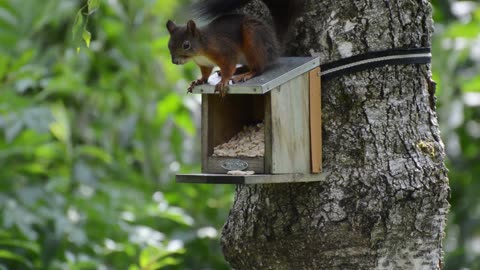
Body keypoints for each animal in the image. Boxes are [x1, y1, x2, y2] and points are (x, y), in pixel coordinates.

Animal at [167, 0, 302, 96]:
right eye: (169, 45)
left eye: (186, 45)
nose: (174, 61)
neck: (200, 51)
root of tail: (275, 42)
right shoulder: (205, 64)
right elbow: (205, 74)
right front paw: (198, 81)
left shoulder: (226, 51)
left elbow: (228, 67)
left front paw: (223, 82)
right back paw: (238, 70)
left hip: (253, 40)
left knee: (259, 68)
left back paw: (245, 74)